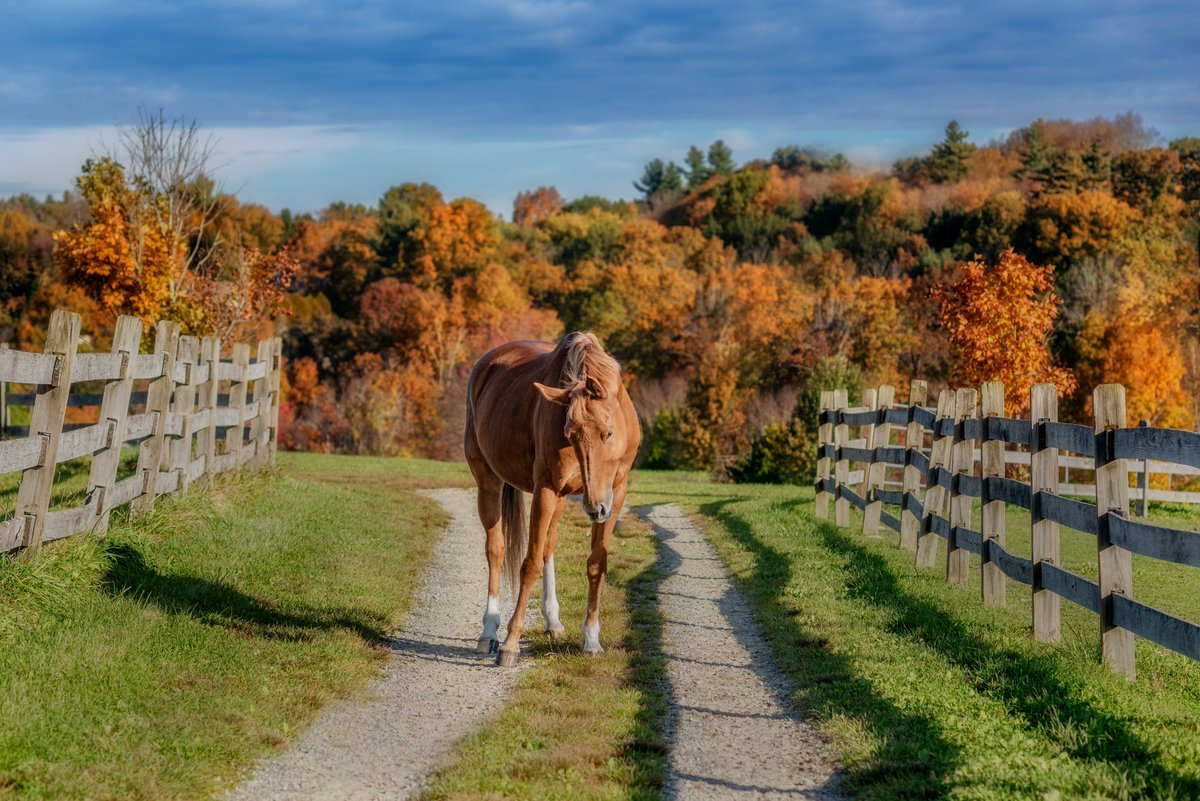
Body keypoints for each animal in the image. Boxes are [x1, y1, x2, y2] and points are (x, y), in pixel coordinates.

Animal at [464, 331, 641, 667]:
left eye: (609, 433)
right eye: (570, 434)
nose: (595, 508)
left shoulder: (616, 492)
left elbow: (596, 564)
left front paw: (592, 640)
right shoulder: (546, 489)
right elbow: (529, 563)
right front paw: (511, 643)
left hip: (562, 500)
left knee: (548, 546)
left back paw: (552, 621)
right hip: (488, 481)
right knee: (496, 550)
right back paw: (489, 631)